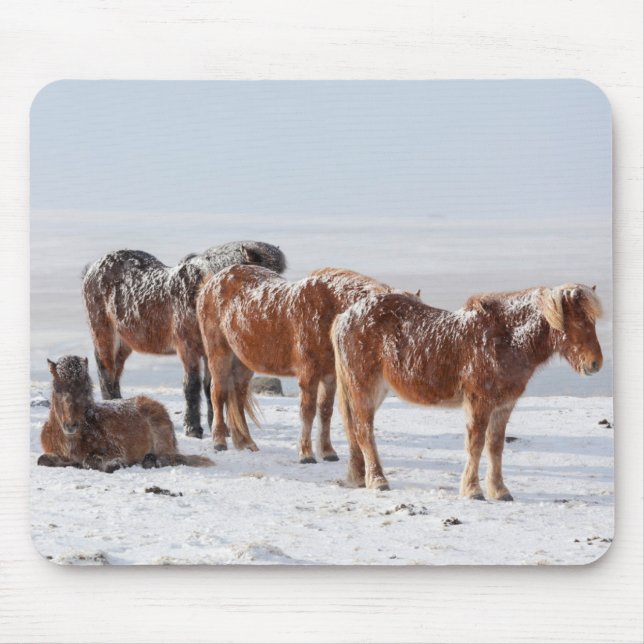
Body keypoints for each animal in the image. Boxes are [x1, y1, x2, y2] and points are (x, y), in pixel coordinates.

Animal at [38, 355, 213, 472]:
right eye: (57, 389)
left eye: (85, 390)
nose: (71, 425)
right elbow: (42, 460)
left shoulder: (115, 450)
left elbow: (92, 461)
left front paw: (116, 464)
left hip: (162, 443)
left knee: (168, 458)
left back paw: (149, 460)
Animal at [82, 241, 286, 439]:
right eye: (263, 276)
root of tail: (92, 268)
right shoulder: (188, 349)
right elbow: (192, 385)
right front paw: (193, 428)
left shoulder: (211, 351)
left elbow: (211, 387)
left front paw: (218, 428)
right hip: (104, 334)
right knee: (106, 370)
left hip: (125, 342)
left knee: (115, 371)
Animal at [196, 266, 418, 461]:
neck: (328, 309)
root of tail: (211, 281)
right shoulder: (308, 374)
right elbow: (308, 412)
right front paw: (306, 453)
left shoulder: (329, 376)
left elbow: (325, 412)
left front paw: (328, 452)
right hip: (219, 354)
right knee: (218, 393)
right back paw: (219, 441)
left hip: (243, 362)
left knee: (238, 397)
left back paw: (246, 442)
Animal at [332, 284, 603, 497]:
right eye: (578, 321)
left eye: (593, 321)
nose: (595, 363)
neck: (507, 341)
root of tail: (343, 317)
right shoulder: (479, 402)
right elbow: (476, 444)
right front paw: (473, 490)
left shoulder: (504, 405)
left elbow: (495, 446)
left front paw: (499, 490)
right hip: (364, 388)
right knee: (363, 431)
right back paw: (378, 480)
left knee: (354, 430)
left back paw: (358, 477)